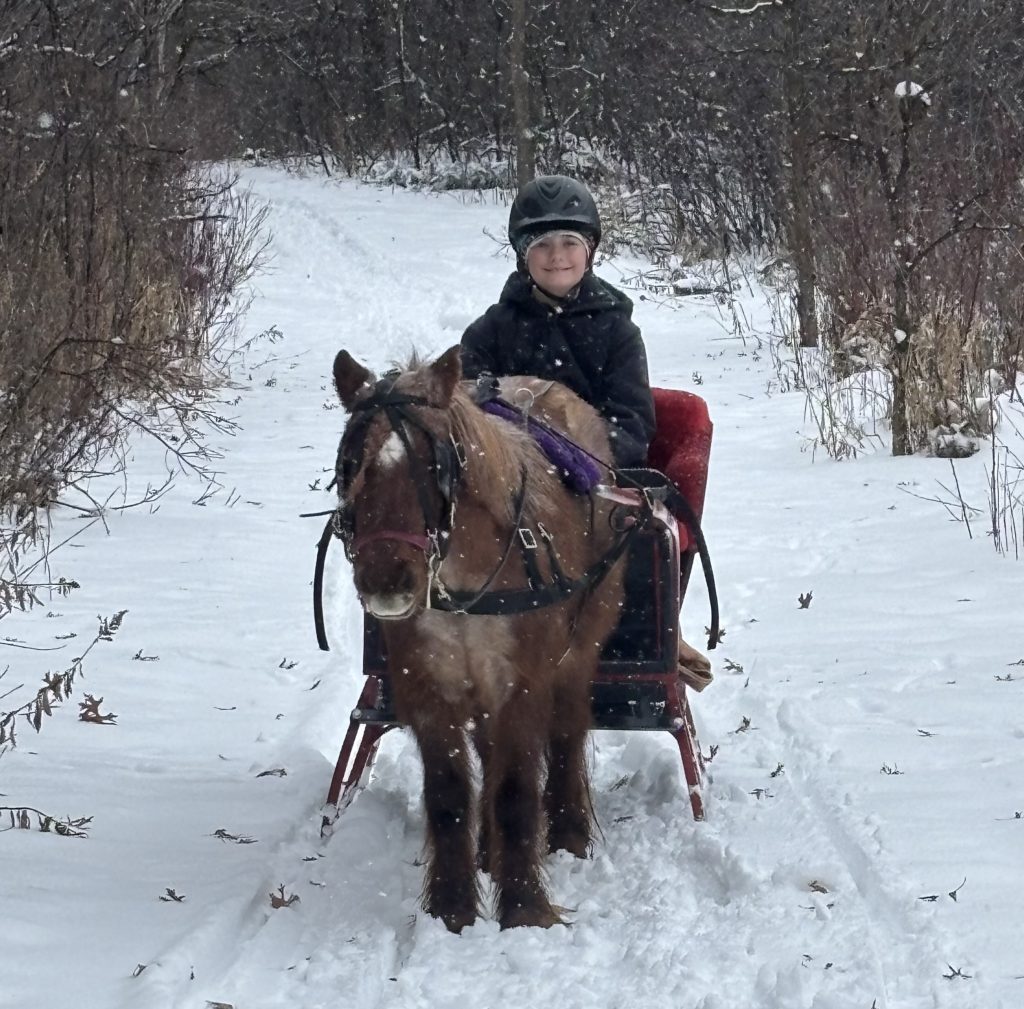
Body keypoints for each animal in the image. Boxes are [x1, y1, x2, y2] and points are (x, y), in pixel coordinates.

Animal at [331, 345, 632, 932]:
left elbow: (516, 791)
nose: (386, 580)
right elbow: (449, 797)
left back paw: (567, 834)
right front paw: (453, 910)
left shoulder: (522, 685)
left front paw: (523, 910)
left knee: (567, 732)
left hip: (579, 650)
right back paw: (489, 854)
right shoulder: (429, 686)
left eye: (434, 464)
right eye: (350, 464)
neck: (464, 583)